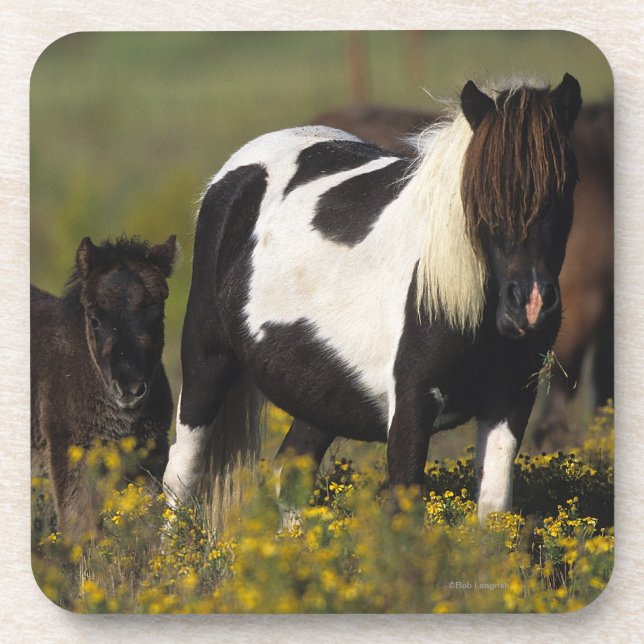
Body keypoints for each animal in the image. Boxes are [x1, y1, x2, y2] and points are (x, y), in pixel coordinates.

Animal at [31, 235, 176, 539]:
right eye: (94, 319)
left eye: (157, 316)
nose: (130, 388)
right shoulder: (72, 458)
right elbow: (81, 532)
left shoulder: (150, 461)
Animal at [163, 74, 582, 525]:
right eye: (481, 192)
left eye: (568, 185)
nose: (530, 306)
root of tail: (238, 170)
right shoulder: (412, 403)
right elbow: (404, 505)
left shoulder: (511, 399)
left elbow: (493, 510)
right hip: (207, 360)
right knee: (180, 476)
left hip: (322, 394)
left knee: (290, 470)